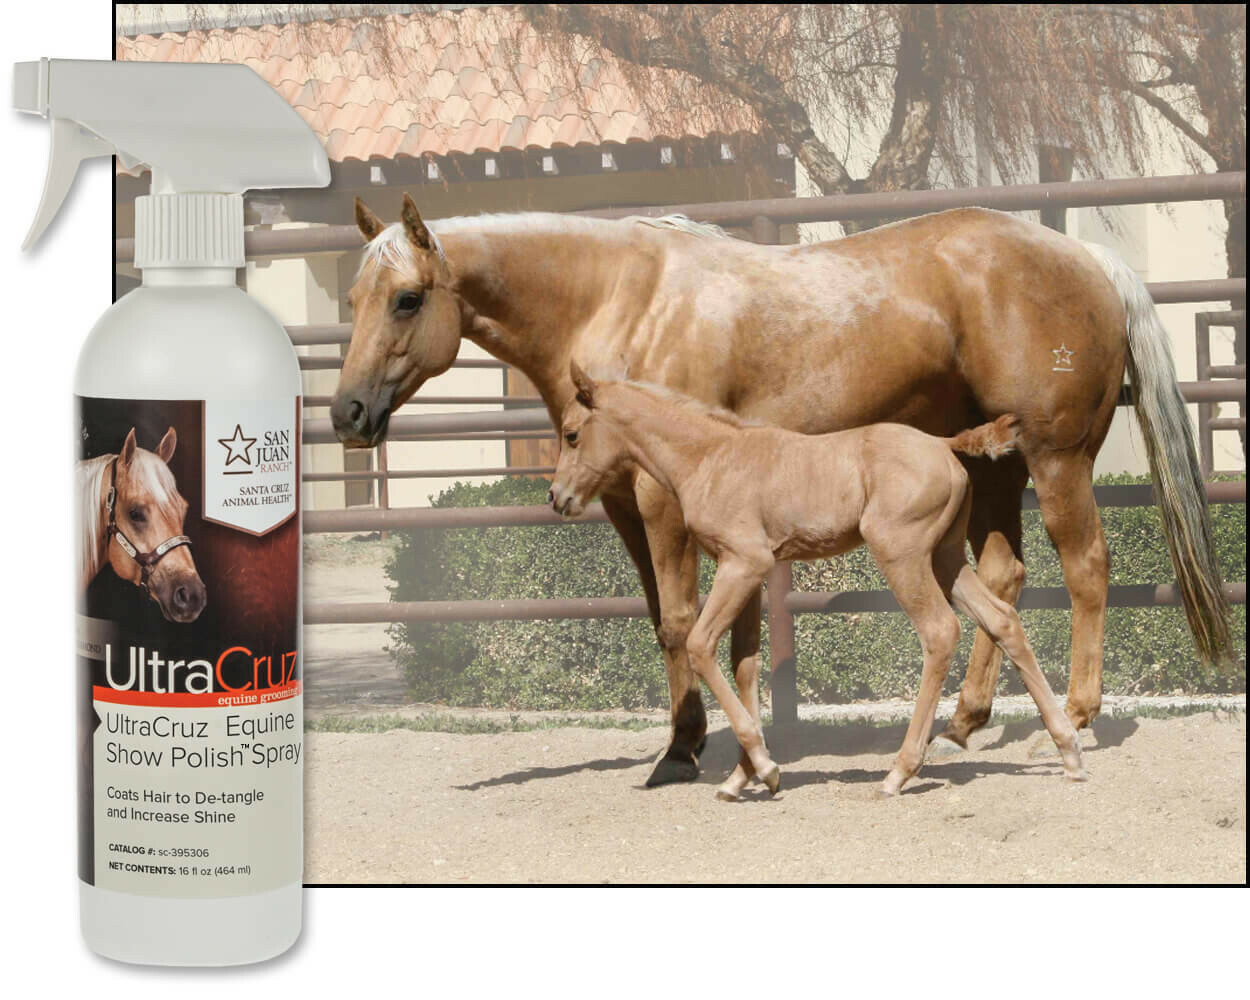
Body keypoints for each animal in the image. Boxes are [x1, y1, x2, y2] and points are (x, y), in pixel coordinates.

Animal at [550, 363, 1086, 798]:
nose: (557, 497)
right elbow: (745, 664)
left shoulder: (742, 563)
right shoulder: (748, 571)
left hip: (903, 555)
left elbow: (701, 646)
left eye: (572, 434)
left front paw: (765, 769)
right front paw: (742, 777)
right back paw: (1068, 751)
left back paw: (899, 772)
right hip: (945, 557)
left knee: (940, 632)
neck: (710, 457)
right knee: (1002, 619)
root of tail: (942, 444)